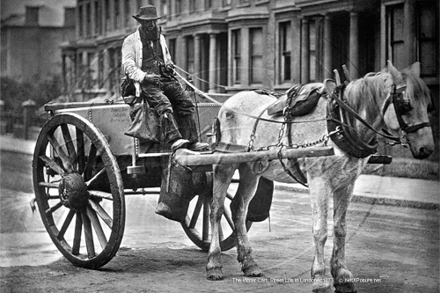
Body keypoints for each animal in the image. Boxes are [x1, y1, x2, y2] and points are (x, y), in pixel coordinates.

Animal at [206, 61, 434, 290]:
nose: (427, 149)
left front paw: (341, 275)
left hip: (251, 168)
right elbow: (320, 230)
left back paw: (249, 262)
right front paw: (320, 278)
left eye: (428, 105)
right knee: (216, 209)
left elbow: (340, 229)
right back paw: (214, 262)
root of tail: (227, 104)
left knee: (238, 208)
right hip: (224, 164)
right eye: (406, 104)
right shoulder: (319, 181)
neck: (340, 122)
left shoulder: (346, 184)